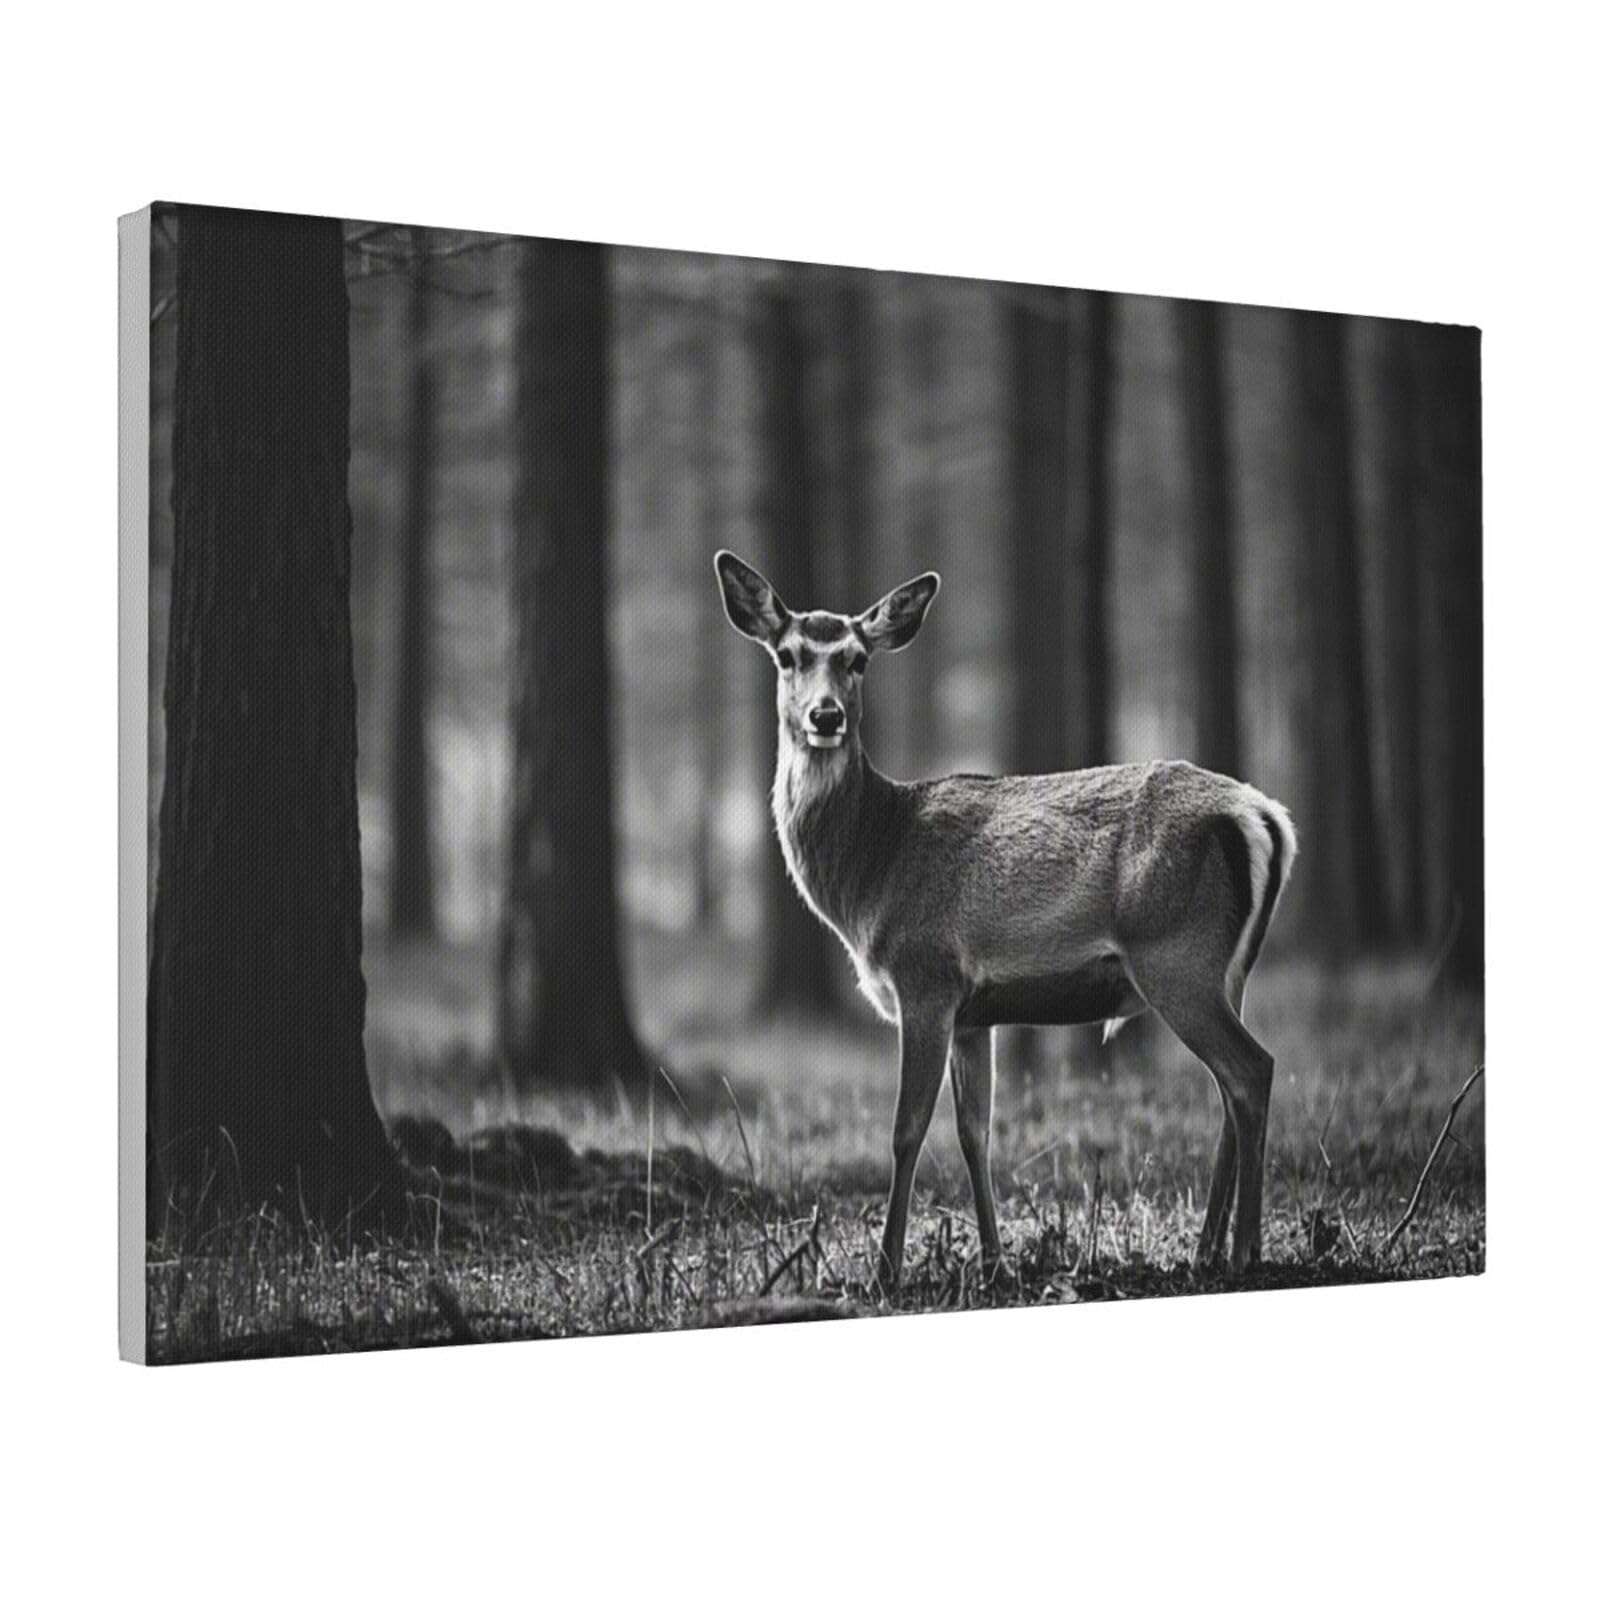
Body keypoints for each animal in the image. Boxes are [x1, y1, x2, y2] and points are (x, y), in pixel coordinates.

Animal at [714, 549, 1297, 1290]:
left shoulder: (926, 976)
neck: (874, 869)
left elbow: (906, 1128)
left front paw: (886, 1269)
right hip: (1229, 968)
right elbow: (976, 1132)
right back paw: (1205, 1250)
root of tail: (1264, 815)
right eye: (787, 655)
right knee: (1229, 1088)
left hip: (1176, 955)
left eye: (857, 659)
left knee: (1251, 1071)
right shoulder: (974, 1013)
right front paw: (993, 1261)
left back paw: (1244, 1250)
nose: (824, 716)